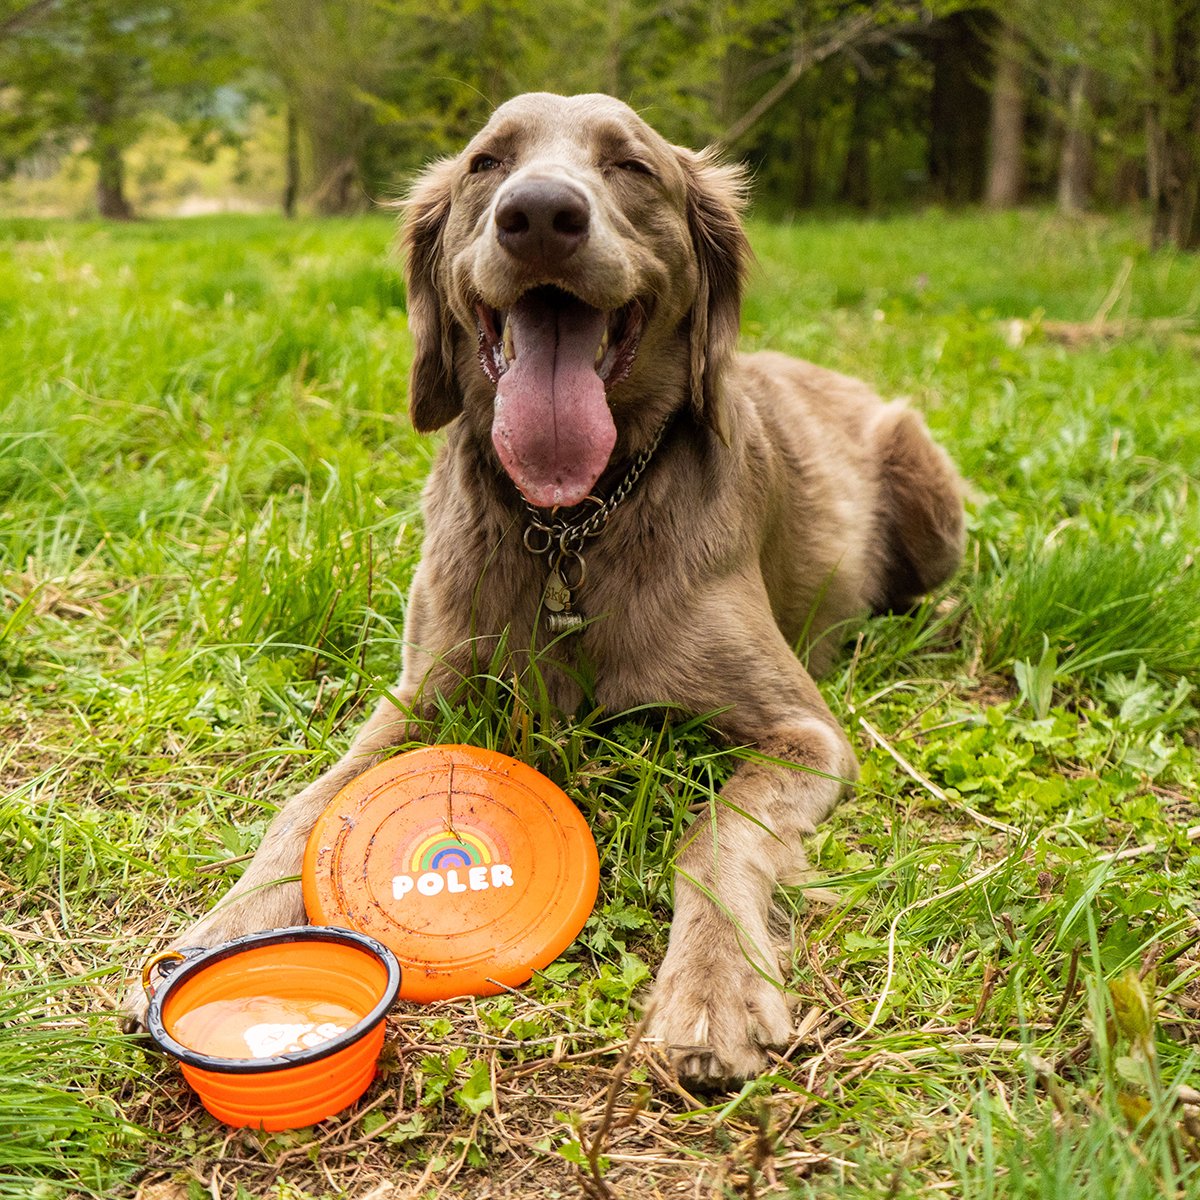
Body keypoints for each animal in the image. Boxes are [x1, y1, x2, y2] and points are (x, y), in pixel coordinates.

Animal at [126, 96, 964, 1089]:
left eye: (632, 167)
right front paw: (221, 938)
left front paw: (712, 990)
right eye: (487, 163)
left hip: (927, 485)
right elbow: (305, 807)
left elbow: (717, 833)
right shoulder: (421, 692)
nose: (538, 216)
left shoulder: (807, 733)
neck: (575, 522)